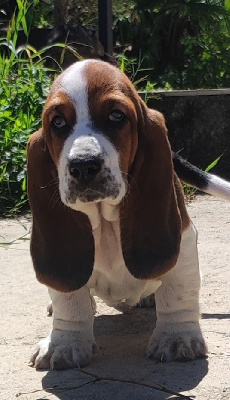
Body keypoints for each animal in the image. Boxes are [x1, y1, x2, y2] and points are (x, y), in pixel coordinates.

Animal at [27, 59, 230, 368]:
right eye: (58, 122)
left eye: (116, 115)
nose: (83, 165)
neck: (104, 218)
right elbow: (69, 302)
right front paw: (64, 344)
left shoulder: (183, 240)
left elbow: (178, 291)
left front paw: (177, 338)